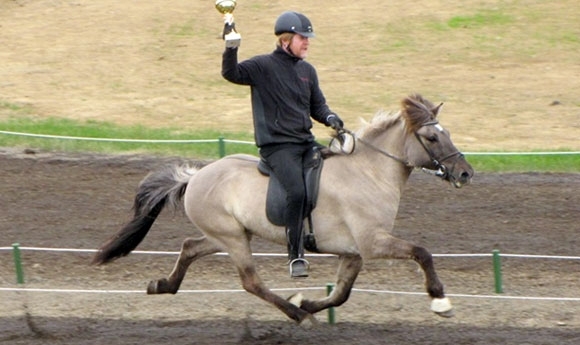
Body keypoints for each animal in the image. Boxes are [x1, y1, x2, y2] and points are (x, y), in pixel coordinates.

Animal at [90, 94, 472, 326]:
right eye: (433, 138)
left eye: (448, 132)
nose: (466, 173)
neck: (368, 172)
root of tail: (197, 175)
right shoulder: (373, 243)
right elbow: (422, 253)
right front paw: (440, 301)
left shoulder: (353, 252)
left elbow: (341, 294)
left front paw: (308, 303)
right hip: (233, 238)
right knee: (251, 281)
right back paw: (296, 316)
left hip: (226, 234)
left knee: (189, 247)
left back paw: (162, 286)